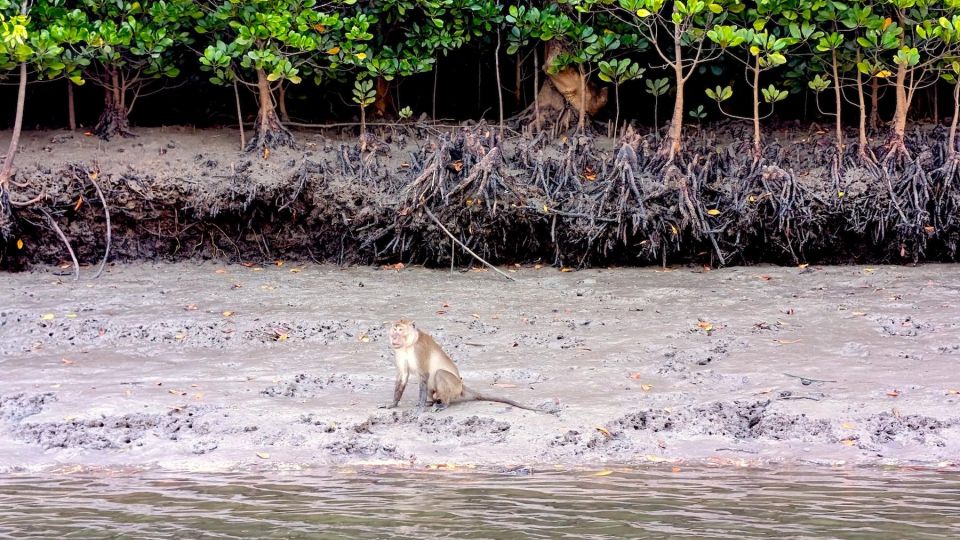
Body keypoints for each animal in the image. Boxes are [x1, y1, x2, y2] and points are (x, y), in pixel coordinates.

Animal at [382, 316, 548, 414]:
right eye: (394, 330)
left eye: (400, 330)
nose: (394, 338)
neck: (409, 344)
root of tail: (462, 385)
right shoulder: (398, 351)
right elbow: (403, 376)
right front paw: (393, 403)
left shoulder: (419, 349)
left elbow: (424, 375)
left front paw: (420, 408)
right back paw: (433, 401)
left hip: (455, 387)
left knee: (439, 374)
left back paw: (444, 404)